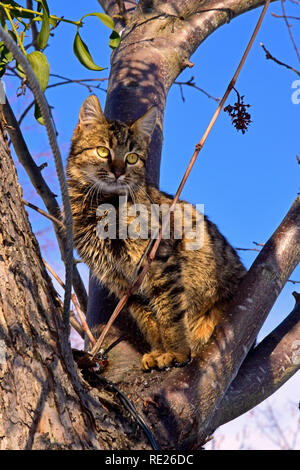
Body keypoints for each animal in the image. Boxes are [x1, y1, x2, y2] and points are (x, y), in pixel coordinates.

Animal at [67, 94, 246, 370]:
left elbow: (170, 315)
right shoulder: (123, 283)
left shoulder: (160, 262)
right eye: (103, 151)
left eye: (132, 158)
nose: (118, 171)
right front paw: (159, 350)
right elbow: (149, 321)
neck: (100, 207)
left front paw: (176, 352)